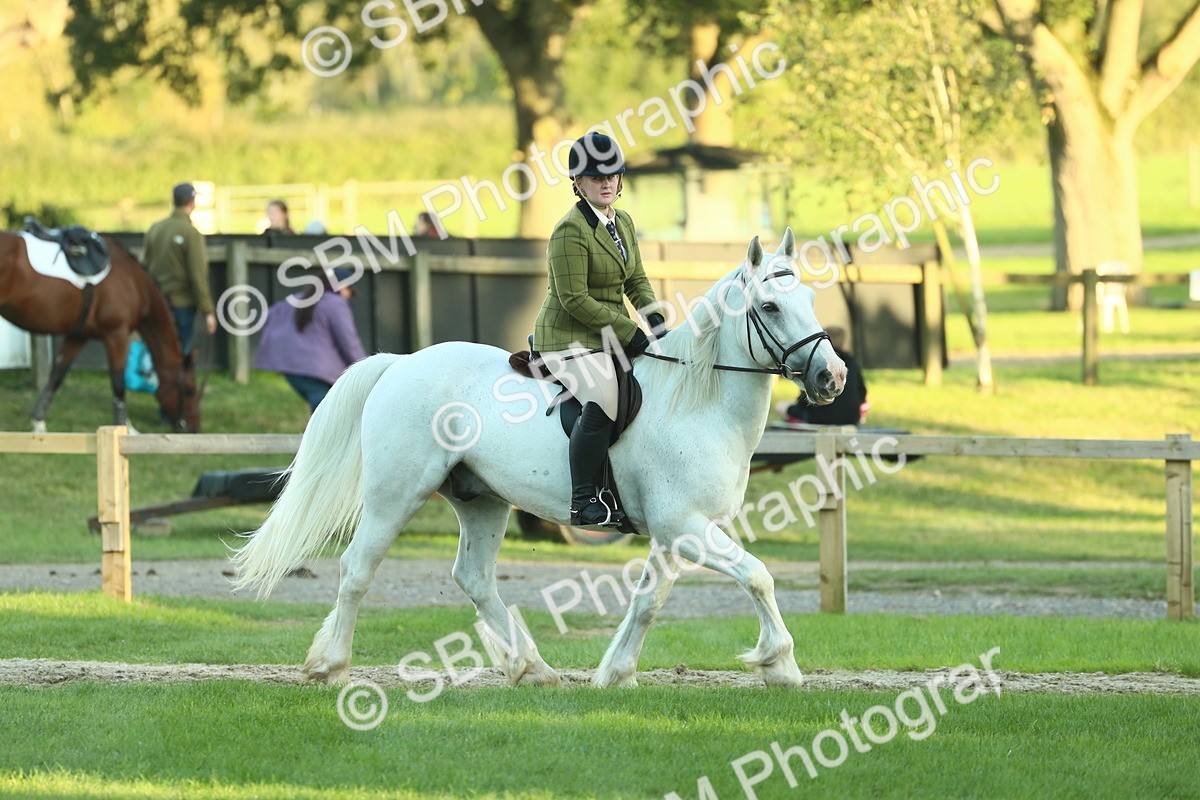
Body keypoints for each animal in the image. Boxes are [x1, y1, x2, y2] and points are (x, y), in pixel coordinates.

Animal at [0, 230, 201, 433]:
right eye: (190, 390)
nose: (194, 428)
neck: (134, 283)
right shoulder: (117, 335)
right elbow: (118, 383)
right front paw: (124, 426)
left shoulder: (77, 336)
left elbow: (57, 375)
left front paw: (38, 423)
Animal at [232, 228, 847, 689]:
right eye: (769, 305)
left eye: (811, 300)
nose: (832, 377)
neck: (696, 402)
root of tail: (402, 362)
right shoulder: (686, 527)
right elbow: (759, 577)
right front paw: (781, 665)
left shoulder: (678, 533)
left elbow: (649, 602)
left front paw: (614, 674)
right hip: (395, 494)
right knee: (358, 569)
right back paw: (331, 667)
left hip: (480, 500)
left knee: (474, 578)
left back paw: (531, 668)